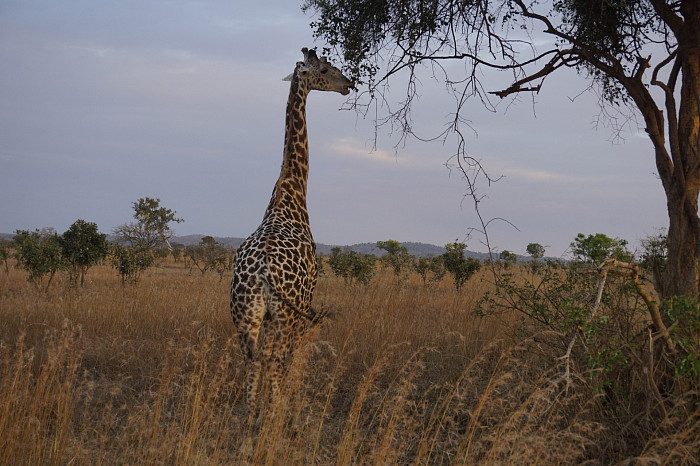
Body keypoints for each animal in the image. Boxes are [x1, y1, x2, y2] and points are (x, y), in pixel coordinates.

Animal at [230, 48, 352, 418]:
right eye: (325, 69)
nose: (349, 84)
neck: (291, 190)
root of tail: (263, 273)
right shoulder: (305, 300)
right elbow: (287, 358)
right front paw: (280, 405)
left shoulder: (270, 315)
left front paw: (261, 407)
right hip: (287, 313)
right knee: (275, 359)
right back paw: (273, 413)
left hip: (246, 314)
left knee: (253, 359)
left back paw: (249, 415)